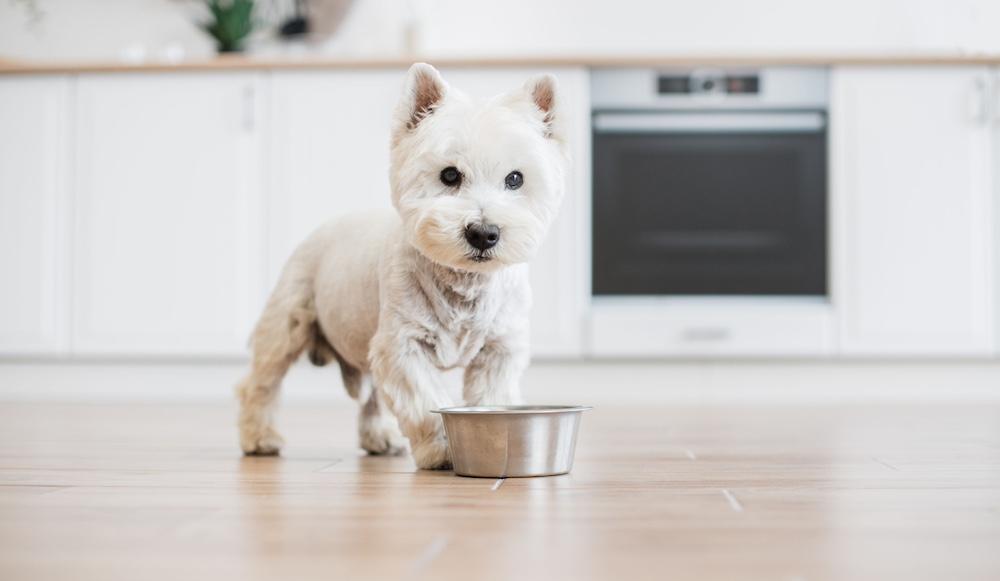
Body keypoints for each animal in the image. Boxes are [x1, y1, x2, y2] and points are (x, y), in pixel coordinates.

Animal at [232, 63, 564, 468]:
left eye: (515, 178)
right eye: (449, 174)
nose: (483, 233)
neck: (463, 283)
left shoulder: (499, 348)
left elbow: (492, 396)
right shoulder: (403, 344)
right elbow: (425, 401)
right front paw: (442, 450)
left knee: (372, 394)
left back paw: (380, 438)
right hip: (289, 317)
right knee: (262, 380)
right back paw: (259, 437)